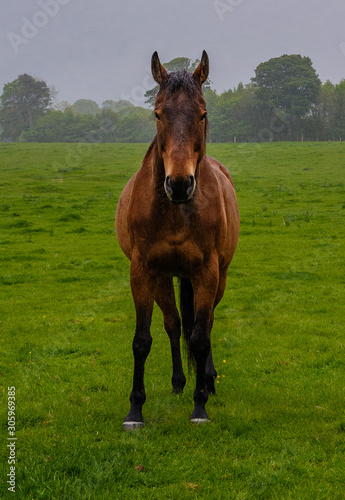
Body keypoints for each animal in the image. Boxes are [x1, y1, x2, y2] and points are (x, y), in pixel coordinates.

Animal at [115, 50, 239, 428]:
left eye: (202, 113)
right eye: (158, 113)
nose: (180, 184)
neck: (175, 211)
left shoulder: (206, 273)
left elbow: (199, 337)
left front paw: (200, 407)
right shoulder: (142, 272)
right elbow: (143, 340)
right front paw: (135, 410)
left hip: (217, 277)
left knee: (205, 325)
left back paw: (206, 381)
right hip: (164, 277)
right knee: (173, 323)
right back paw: (179, 381)